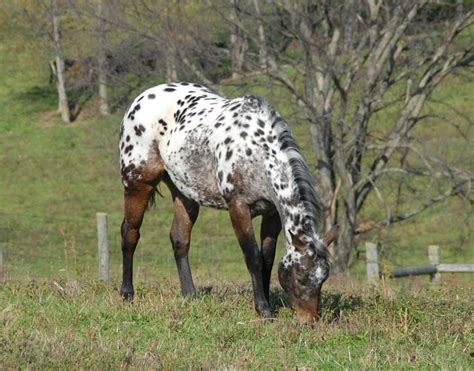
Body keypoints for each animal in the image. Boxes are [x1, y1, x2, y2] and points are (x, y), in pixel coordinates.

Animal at [118, 83, 334, 324]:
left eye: (323, 278)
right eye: (302, 276)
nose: (310, 320)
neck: (255, 152)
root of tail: (142, 98)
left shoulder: (272, 214)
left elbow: (267, 258)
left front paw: (267, 302)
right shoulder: (238, 208)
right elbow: (253, 257)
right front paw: (263, 310)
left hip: (185, 194)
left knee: (179, 239)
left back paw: (190, 294)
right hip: (138, 184)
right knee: (130, 232)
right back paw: (127, 294)